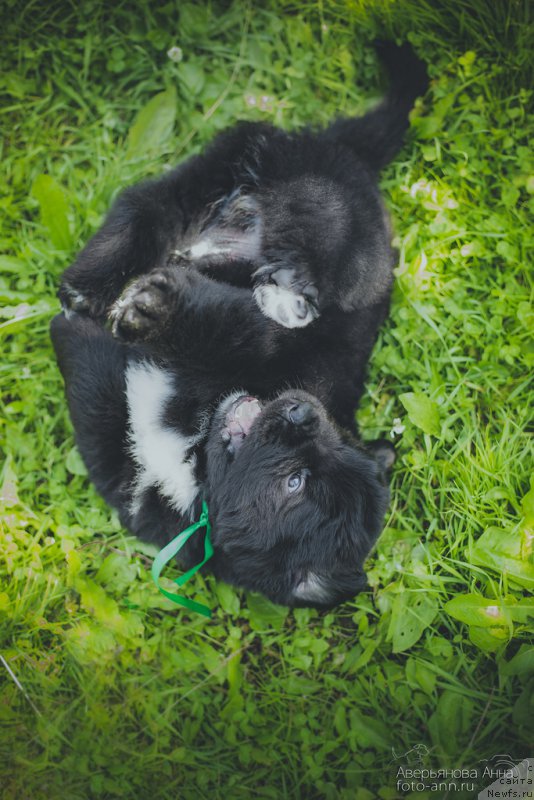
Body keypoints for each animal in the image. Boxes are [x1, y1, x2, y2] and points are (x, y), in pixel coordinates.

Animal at [52, 42, 430, 608]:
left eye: (296, 484)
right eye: (324, 448)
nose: (303, 411)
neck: (195, 456)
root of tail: (344, 154)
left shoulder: (122, 471)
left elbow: (96, 381)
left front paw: (99, 323)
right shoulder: (270, 346)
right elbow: (225, 324)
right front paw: (142, 309)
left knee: (158, 208)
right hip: (260, 175)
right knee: (156, 208)